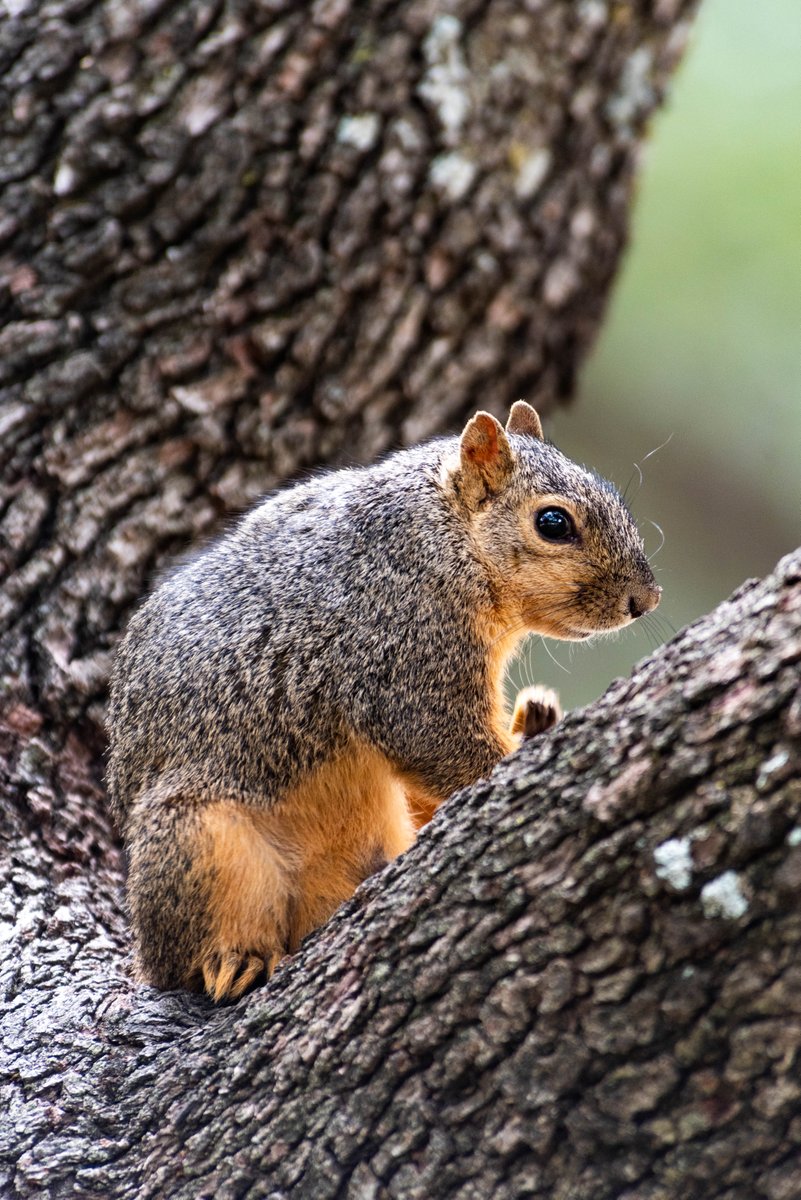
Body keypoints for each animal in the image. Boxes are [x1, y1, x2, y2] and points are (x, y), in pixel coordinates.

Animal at [107, 402, 660, 1002]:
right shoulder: (400, 637)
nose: (647, 598)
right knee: (190, 949)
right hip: (199, 841)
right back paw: (233, 960)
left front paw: (536, 717)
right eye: (553, 523)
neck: (447, 533)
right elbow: (433, 738)